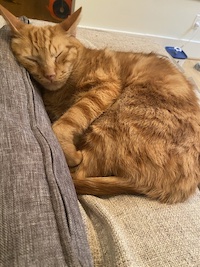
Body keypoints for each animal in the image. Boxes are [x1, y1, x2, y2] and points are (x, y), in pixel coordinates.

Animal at [0, 4, 199, 203]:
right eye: (32, 59)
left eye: (58, 55)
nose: (50, 75)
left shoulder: (105, 86)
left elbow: (63, 124)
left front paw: (70, 150)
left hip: (113, 121)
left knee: (79, 172)